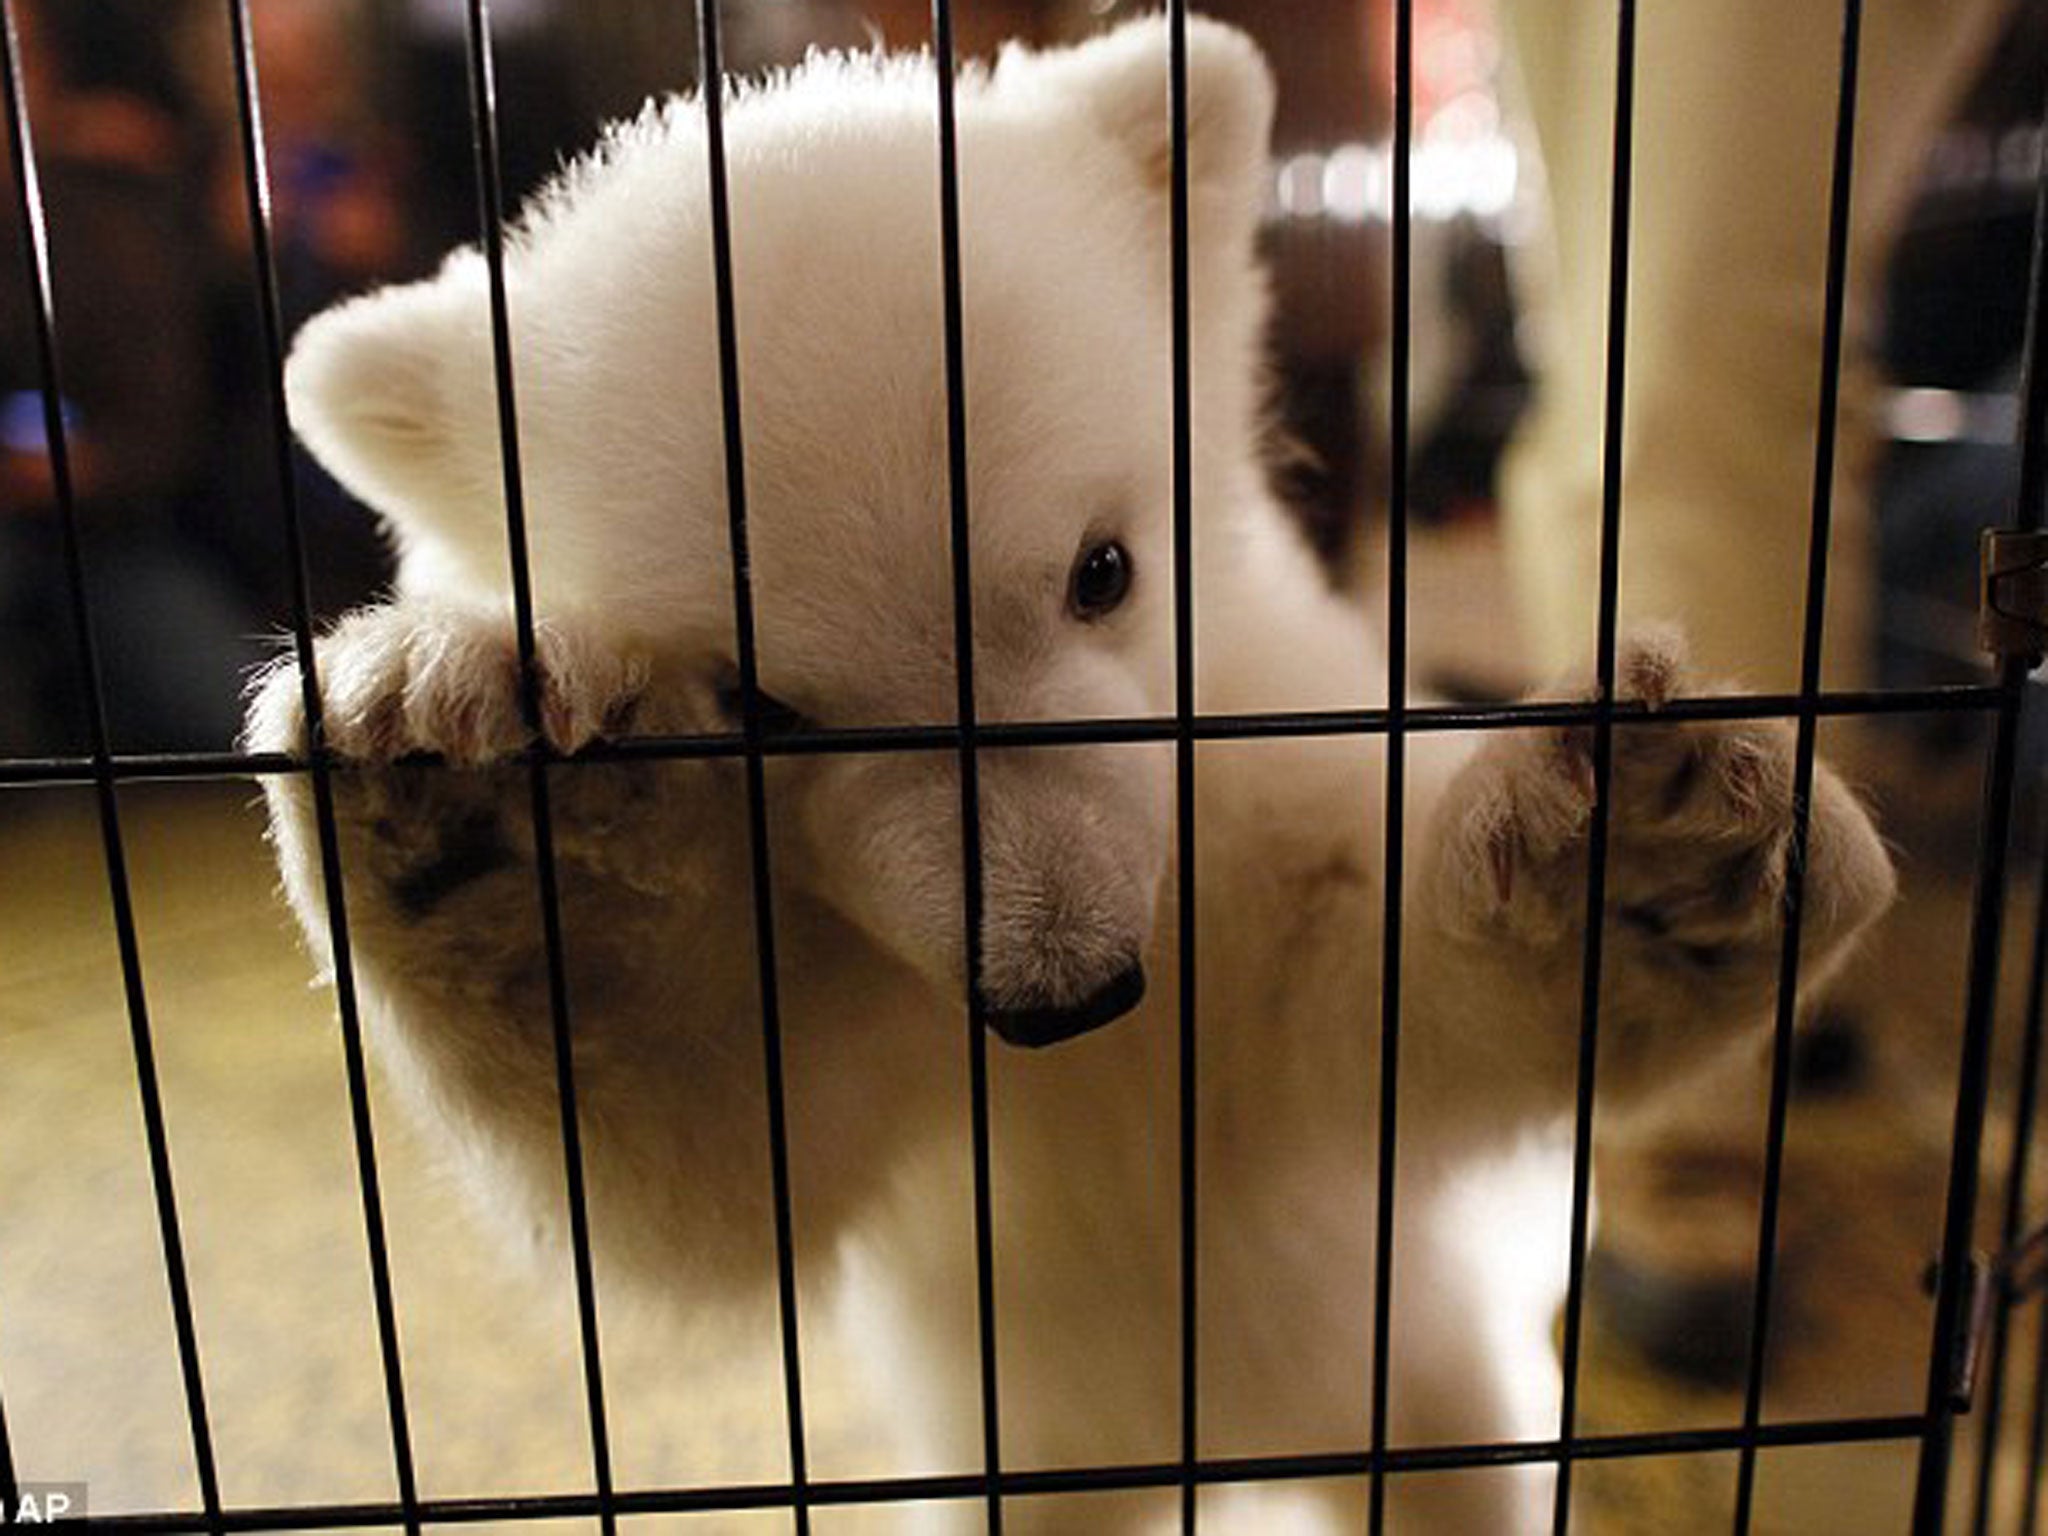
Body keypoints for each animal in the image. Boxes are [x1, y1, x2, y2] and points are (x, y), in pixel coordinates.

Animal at [243, 16, 1897, 1533]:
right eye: (761, 699)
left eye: (1103, 570)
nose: (1068, 991)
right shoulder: (881, 1004)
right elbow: (720, 1156)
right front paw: (495, 803)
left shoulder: (1240, 831)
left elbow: (1371, 994)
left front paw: (1646, 842)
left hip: (1426, 1377)